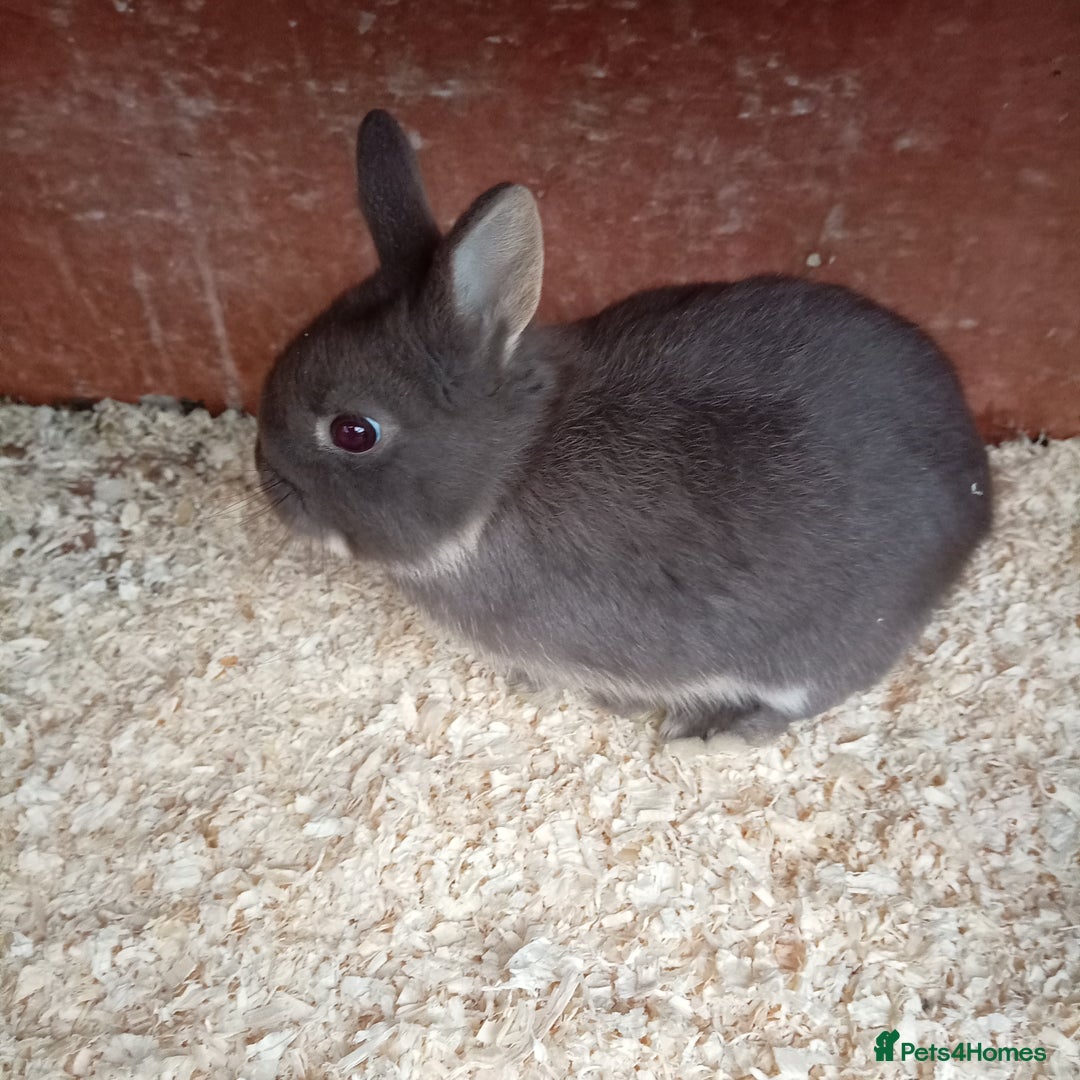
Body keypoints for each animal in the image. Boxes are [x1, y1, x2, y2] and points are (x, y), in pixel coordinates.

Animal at [255, 109, 992, 744]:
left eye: (353, 431)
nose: (267, 480)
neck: (510, 469)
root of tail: (978, 497)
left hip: (815, 646)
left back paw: (717, 732)